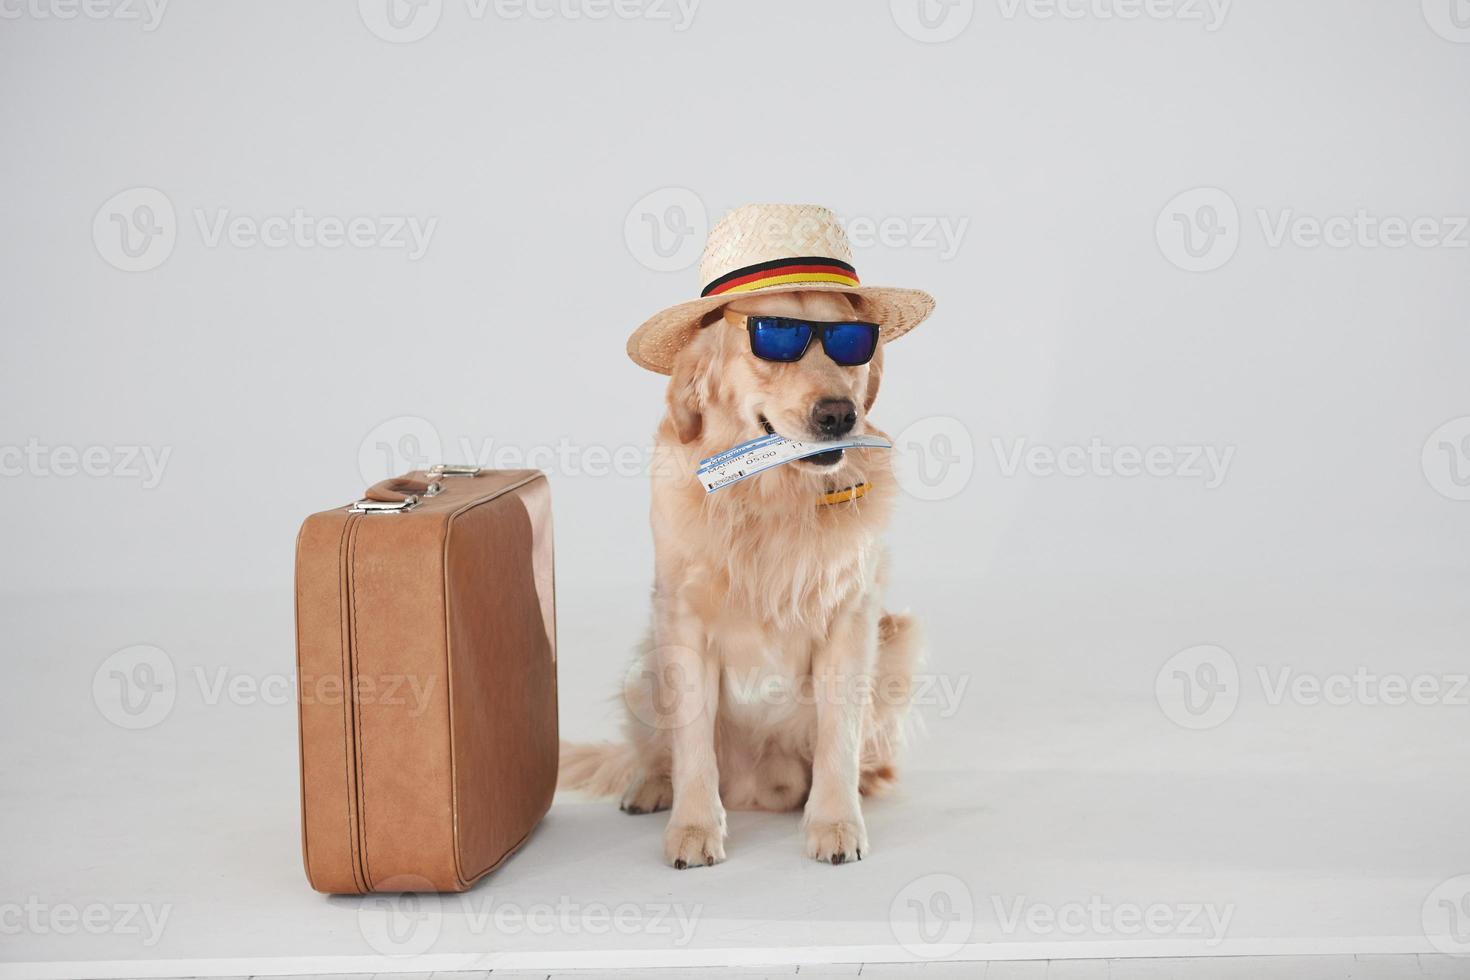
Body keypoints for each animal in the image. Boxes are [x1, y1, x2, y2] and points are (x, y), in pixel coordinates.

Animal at [561, 289, 917, 863]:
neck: (772, 499)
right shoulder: (682, 621)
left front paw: (835, 823)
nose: (840, 414)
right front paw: (694, 827)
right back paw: (651, 786)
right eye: (775, 339)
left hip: (898, 638)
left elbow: (838, 736)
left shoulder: (852, 617)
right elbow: (691, 746)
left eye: (850, 343)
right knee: (660, 753)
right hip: (645, 667)